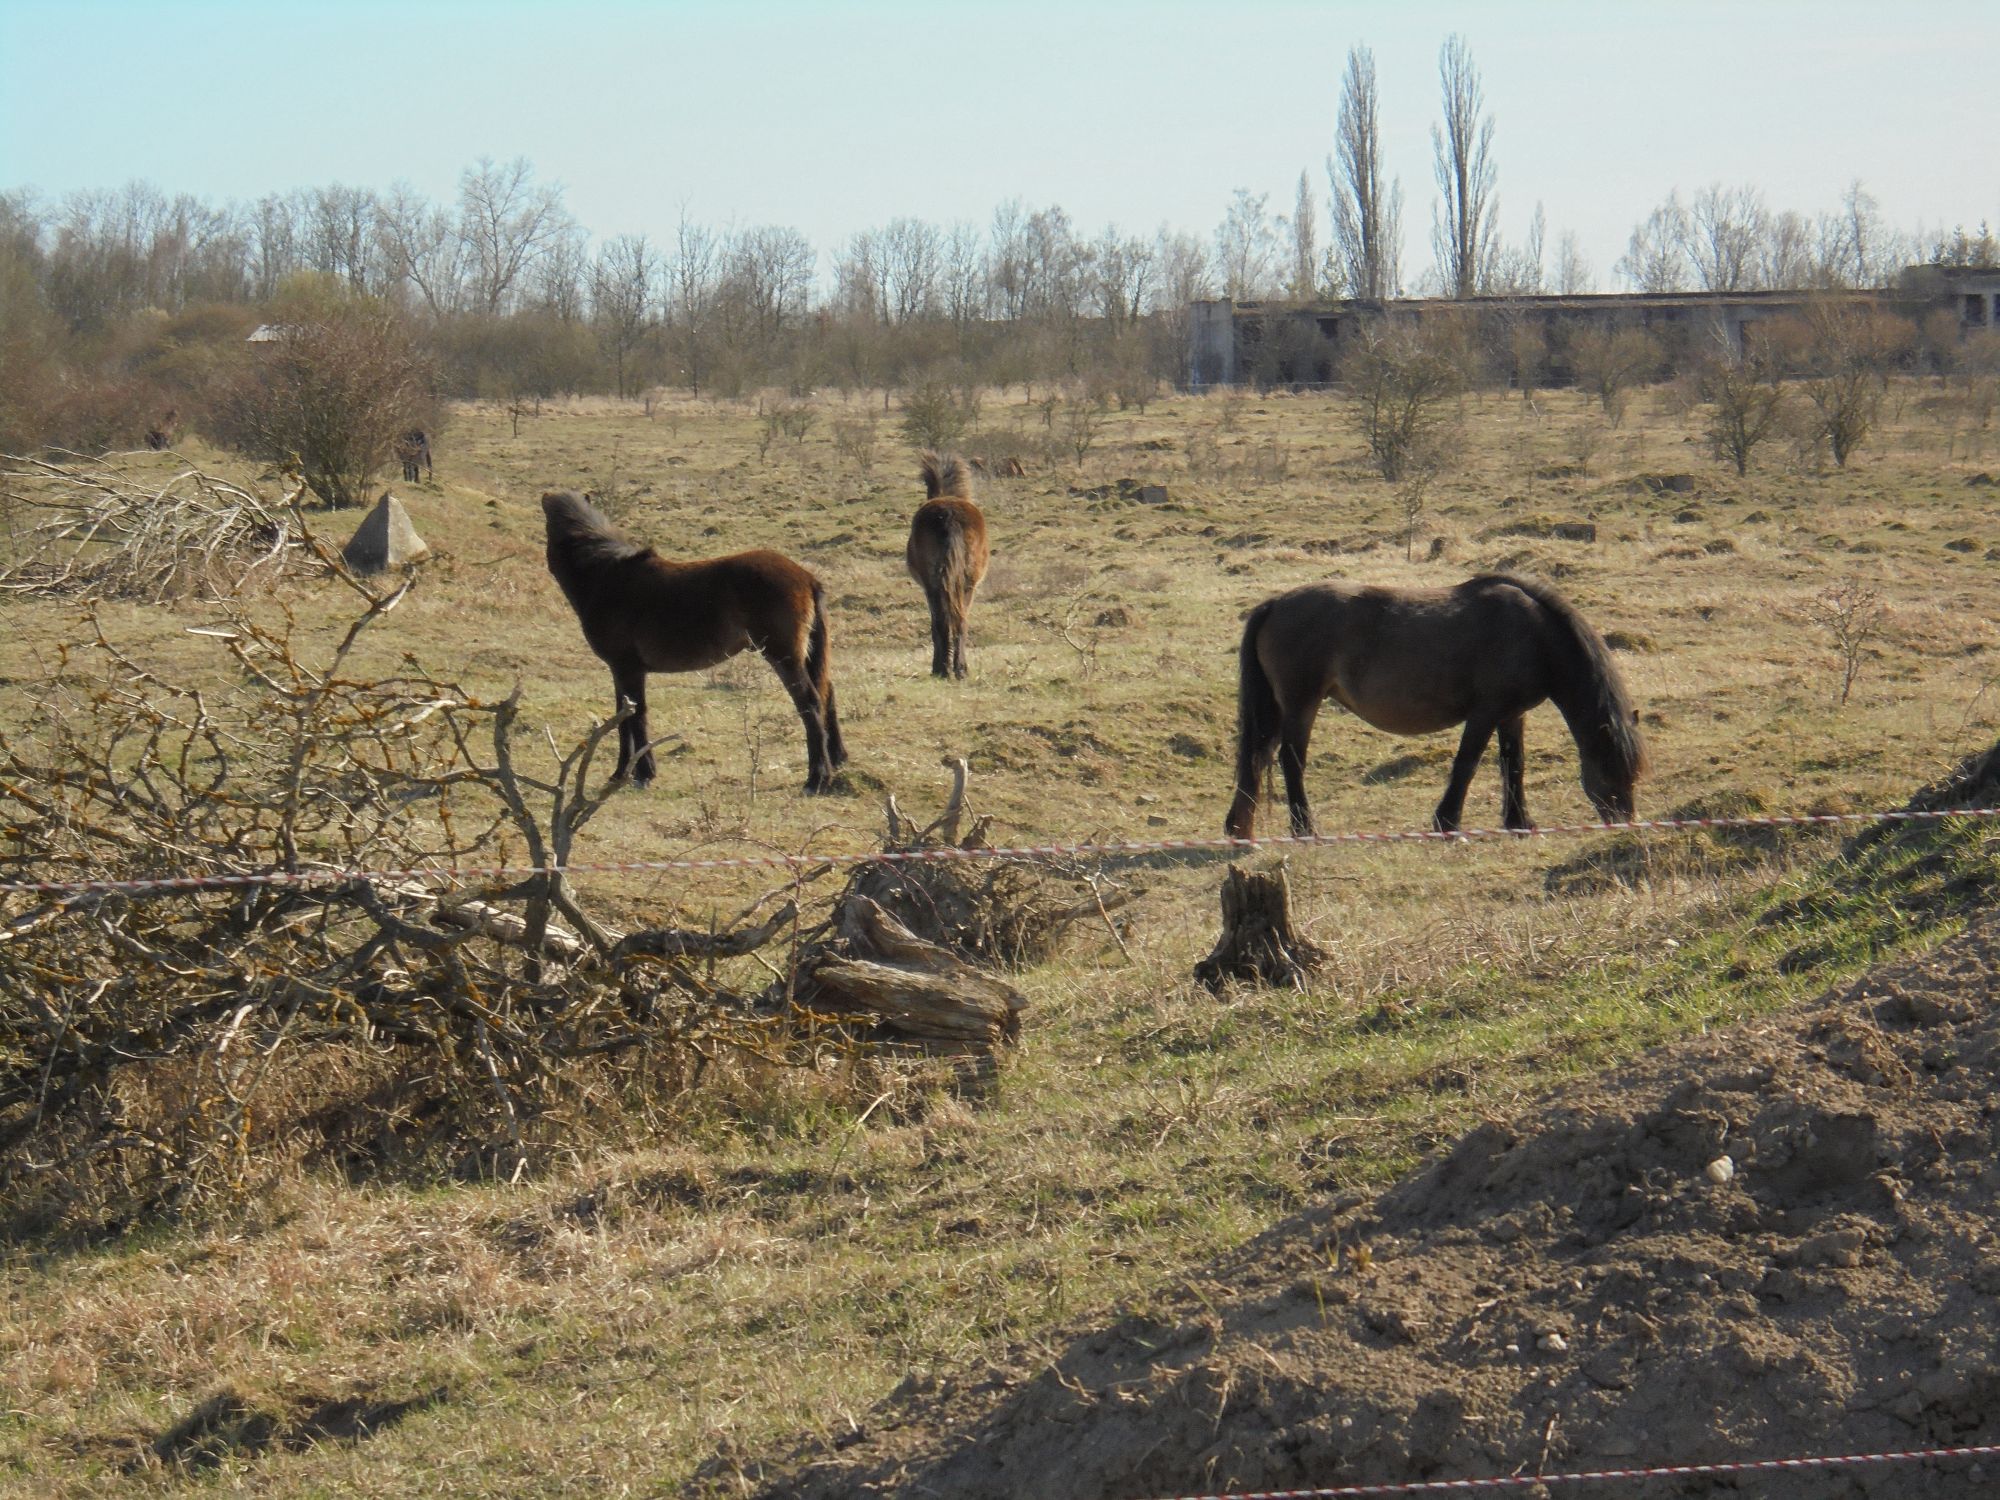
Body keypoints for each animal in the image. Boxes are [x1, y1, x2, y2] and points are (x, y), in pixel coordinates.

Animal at [540, 494, 844, 800]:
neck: (607, 577)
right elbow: (622, 717)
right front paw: (621, 774)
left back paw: (816, 779)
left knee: (811, 703)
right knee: (827, 694)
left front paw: (641, 774)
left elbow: (635, 717)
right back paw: (837, 760)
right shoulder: (620, 670)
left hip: (784, 658)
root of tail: (807, 577)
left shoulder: (628, 668)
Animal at [908, 450, 992, 680]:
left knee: (943, 622)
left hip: (936, 586)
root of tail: (949, 515)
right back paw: (958, 669)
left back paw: (943, 669)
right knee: (960, 621)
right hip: (965, 585)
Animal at [1224, 576, 1648, 840]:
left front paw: (1519, 822)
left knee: (1257, 759)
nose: (1623, 821)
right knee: (1290, 760)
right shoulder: (1485, 713)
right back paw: (1304, 829)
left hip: (1279, 708)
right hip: (1301, 703)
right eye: (1611, 768)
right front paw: (1447, 823)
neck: (1535, 635)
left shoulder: (1512, 715)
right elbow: (1467, 764)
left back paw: (1241, 830)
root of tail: (1275, 604)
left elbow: (1514, 764)